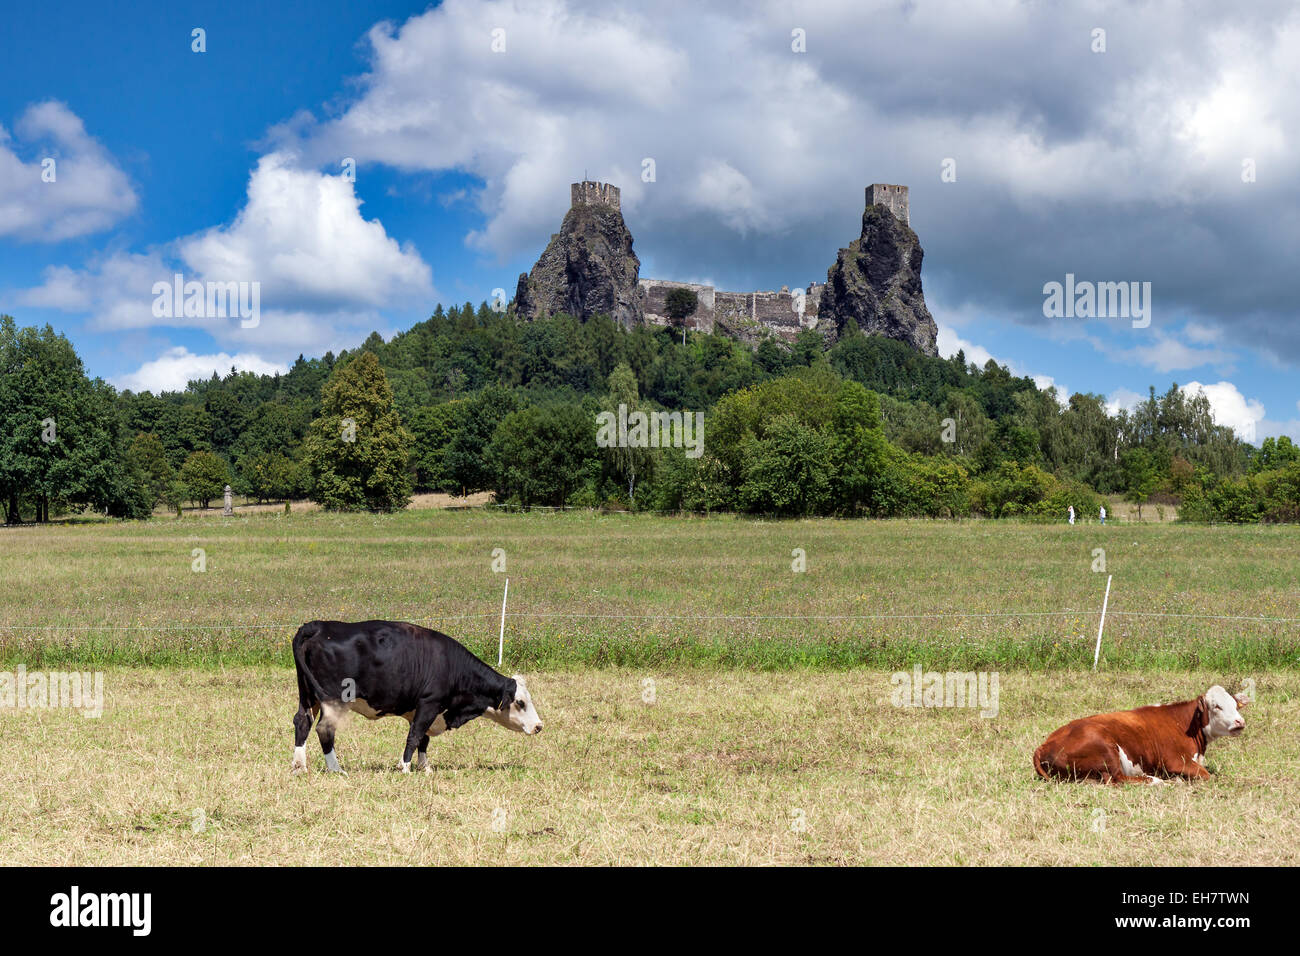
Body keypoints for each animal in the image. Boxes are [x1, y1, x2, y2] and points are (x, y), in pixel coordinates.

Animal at [291, 621, 543, 780]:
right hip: (333, 700)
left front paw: (425, 767)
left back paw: (299, 766)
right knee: (325, 729)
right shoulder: (429, 704)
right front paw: (405, 767)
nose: (539, 726)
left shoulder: (426, 710)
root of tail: (319, 625)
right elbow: (414, 736)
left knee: (302, 722)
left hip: (308, 695)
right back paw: (336, 768)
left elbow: (423, 739)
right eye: (520, 702)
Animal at [1034, 686, 1248, 785]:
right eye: (1217, 706)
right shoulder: (1175, 761)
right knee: (1118, 779)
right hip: (1106, 750)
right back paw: (1157, 781)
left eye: (1235, 705)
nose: (1240, 722)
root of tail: (1043, 746)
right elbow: (1207, 775)